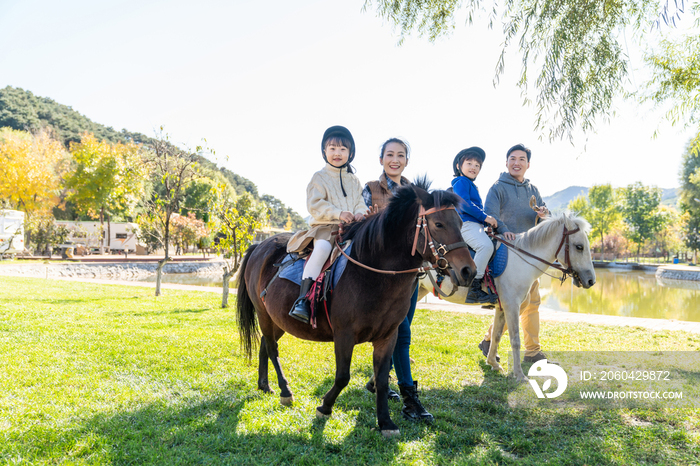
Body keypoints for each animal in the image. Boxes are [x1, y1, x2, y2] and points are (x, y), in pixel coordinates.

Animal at [237, 181, 476, 436]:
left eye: (460, 223)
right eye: (438, 224)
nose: (468, 271)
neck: (372, 273)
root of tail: (260, 245)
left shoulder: (388, 336)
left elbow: (382, 380)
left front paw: (386, 422)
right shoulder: (344, 334)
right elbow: (343, 376)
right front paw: (325, 406)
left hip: (278, 319)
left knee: (265, 344)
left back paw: (265, 385)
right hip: (264, 314)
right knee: (272, 348)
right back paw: (285, 391)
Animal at [418, 213, 592, 380]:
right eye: (579, 247)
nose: (591, 280)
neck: (521, 261)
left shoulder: (502, 308)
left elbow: (496, 335)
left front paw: (493, 363)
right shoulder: (511, 306)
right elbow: (515, 340)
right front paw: (519, 375)